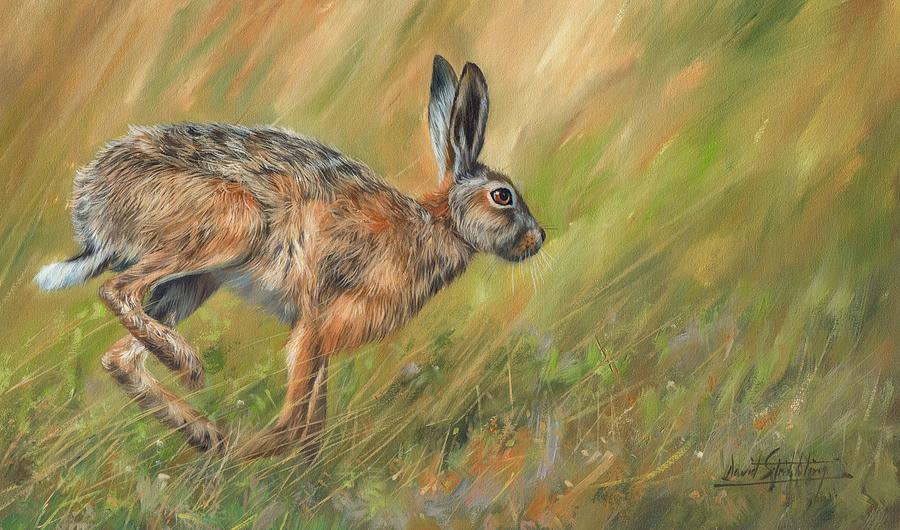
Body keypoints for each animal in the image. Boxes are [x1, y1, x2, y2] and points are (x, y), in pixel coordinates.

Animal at [34, 55, 545, 458]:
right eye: (503, 197)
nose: (538, 239)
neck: (437, 226)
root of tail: (92, 207)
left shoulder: (322, 336)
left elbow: (314, 421)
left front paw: (296, 473)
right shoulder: (316, 326)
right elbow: (297, 421)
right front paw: (249, 459)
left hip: (198, 280)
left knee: (119, 358)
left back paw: (204, 434)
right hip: (229, 221)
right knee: (116, 290)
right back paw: (191, 373)